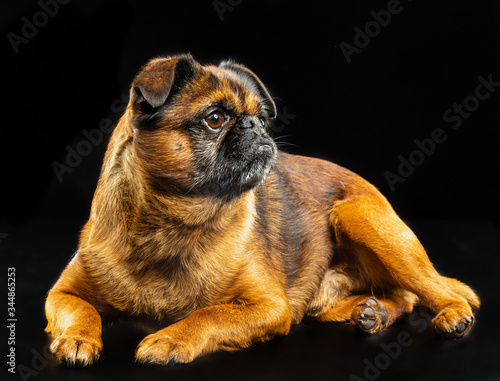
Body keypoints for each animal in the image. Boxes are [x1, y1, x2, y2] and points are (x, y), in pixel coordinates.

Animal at [46, 53, 480, 366]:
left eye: (261, 117)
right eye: (215, 118)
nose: (255, 125)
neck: (175, 222)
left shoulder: (270, 307)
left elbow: (209, 315)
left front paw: (170, 338)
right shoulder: (61, 293)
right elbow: (80, 311)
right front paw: (76, 337)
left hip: (359, 217)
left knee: (429, 291)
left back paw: (450, 316)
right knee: (399, 296)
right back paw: (372, 313)